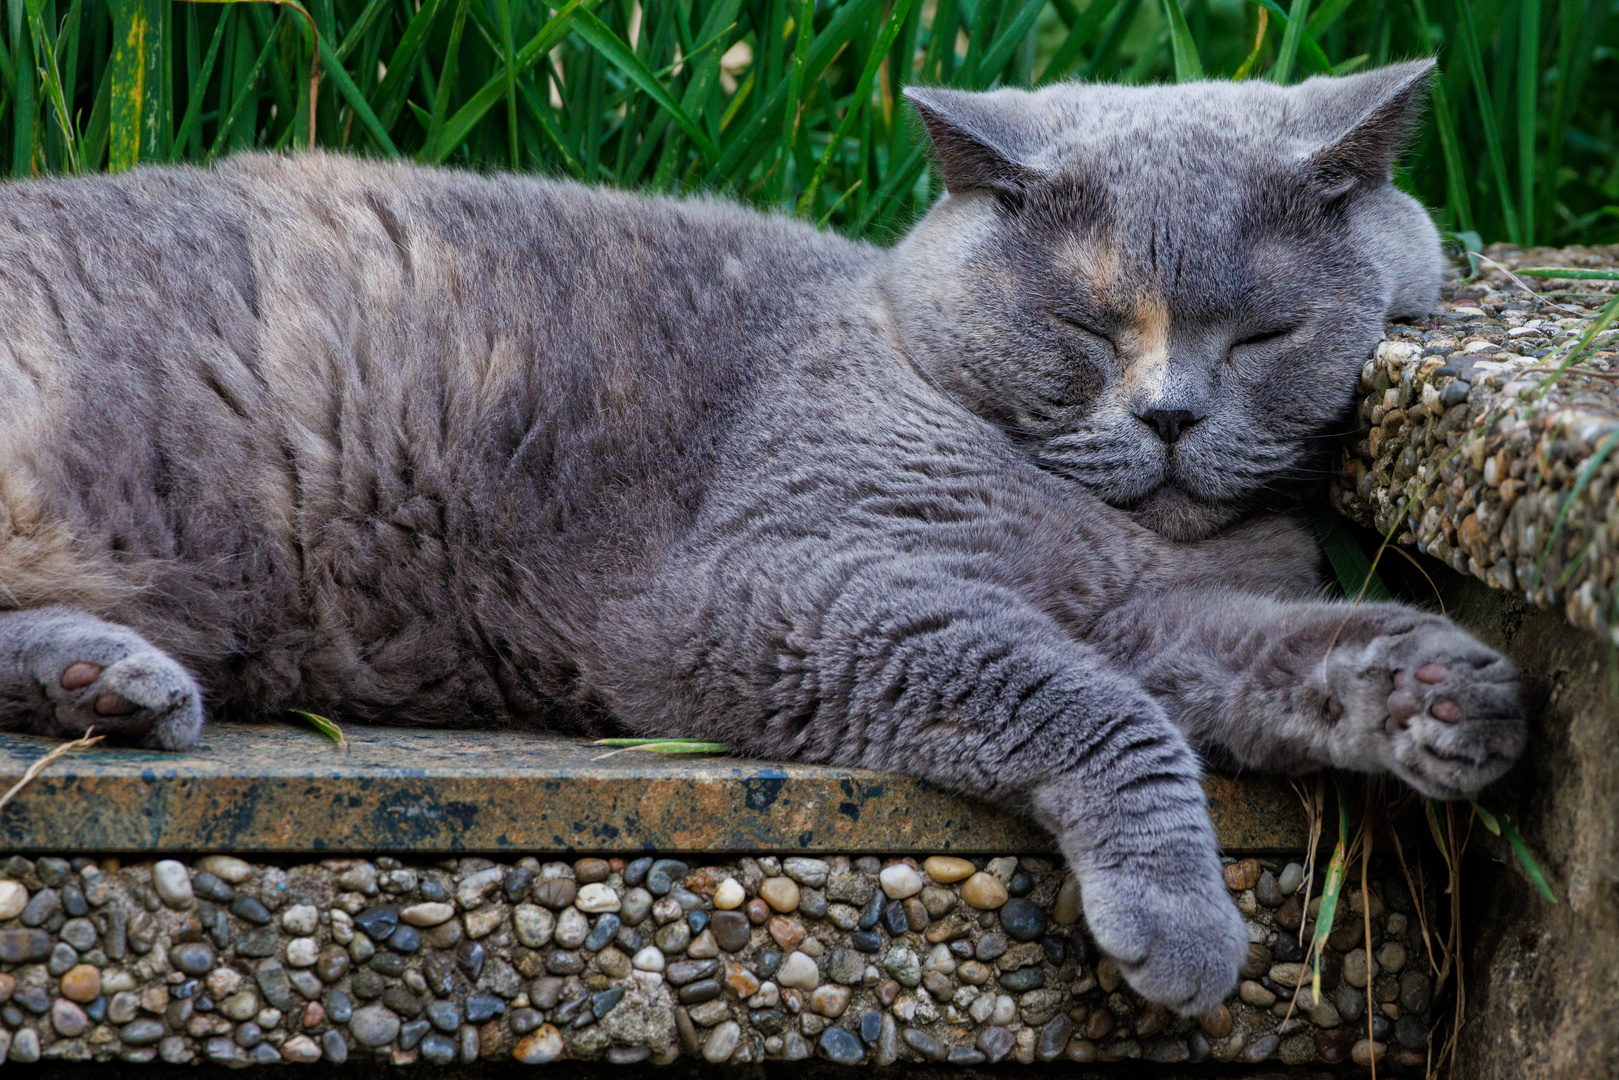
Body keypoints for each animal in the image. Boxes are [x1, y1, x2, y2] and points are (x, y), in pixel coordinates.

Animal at [0, 59, 1521, 1016]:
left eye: (1261, 335)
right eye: (1083, 326)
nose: (1167, 416)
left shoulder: (1170, 617)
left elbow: (1288, 654)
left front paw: (1448, 696)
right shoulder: (773, 587)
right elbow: (1091, 704)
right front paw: (1183, 925)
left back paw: (111, 686)